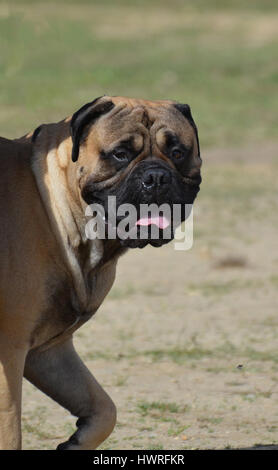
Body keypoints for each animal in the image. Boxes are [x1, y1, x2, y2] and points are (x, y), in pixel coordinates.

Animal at [0, 94, 201, 448]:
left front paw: (77, 440)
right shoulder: (9, 351)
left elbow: (104, 408)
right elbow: (10, 428)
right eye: (121, 154)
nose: (156, 177)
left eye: (178, 152)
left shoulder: (48, 350)